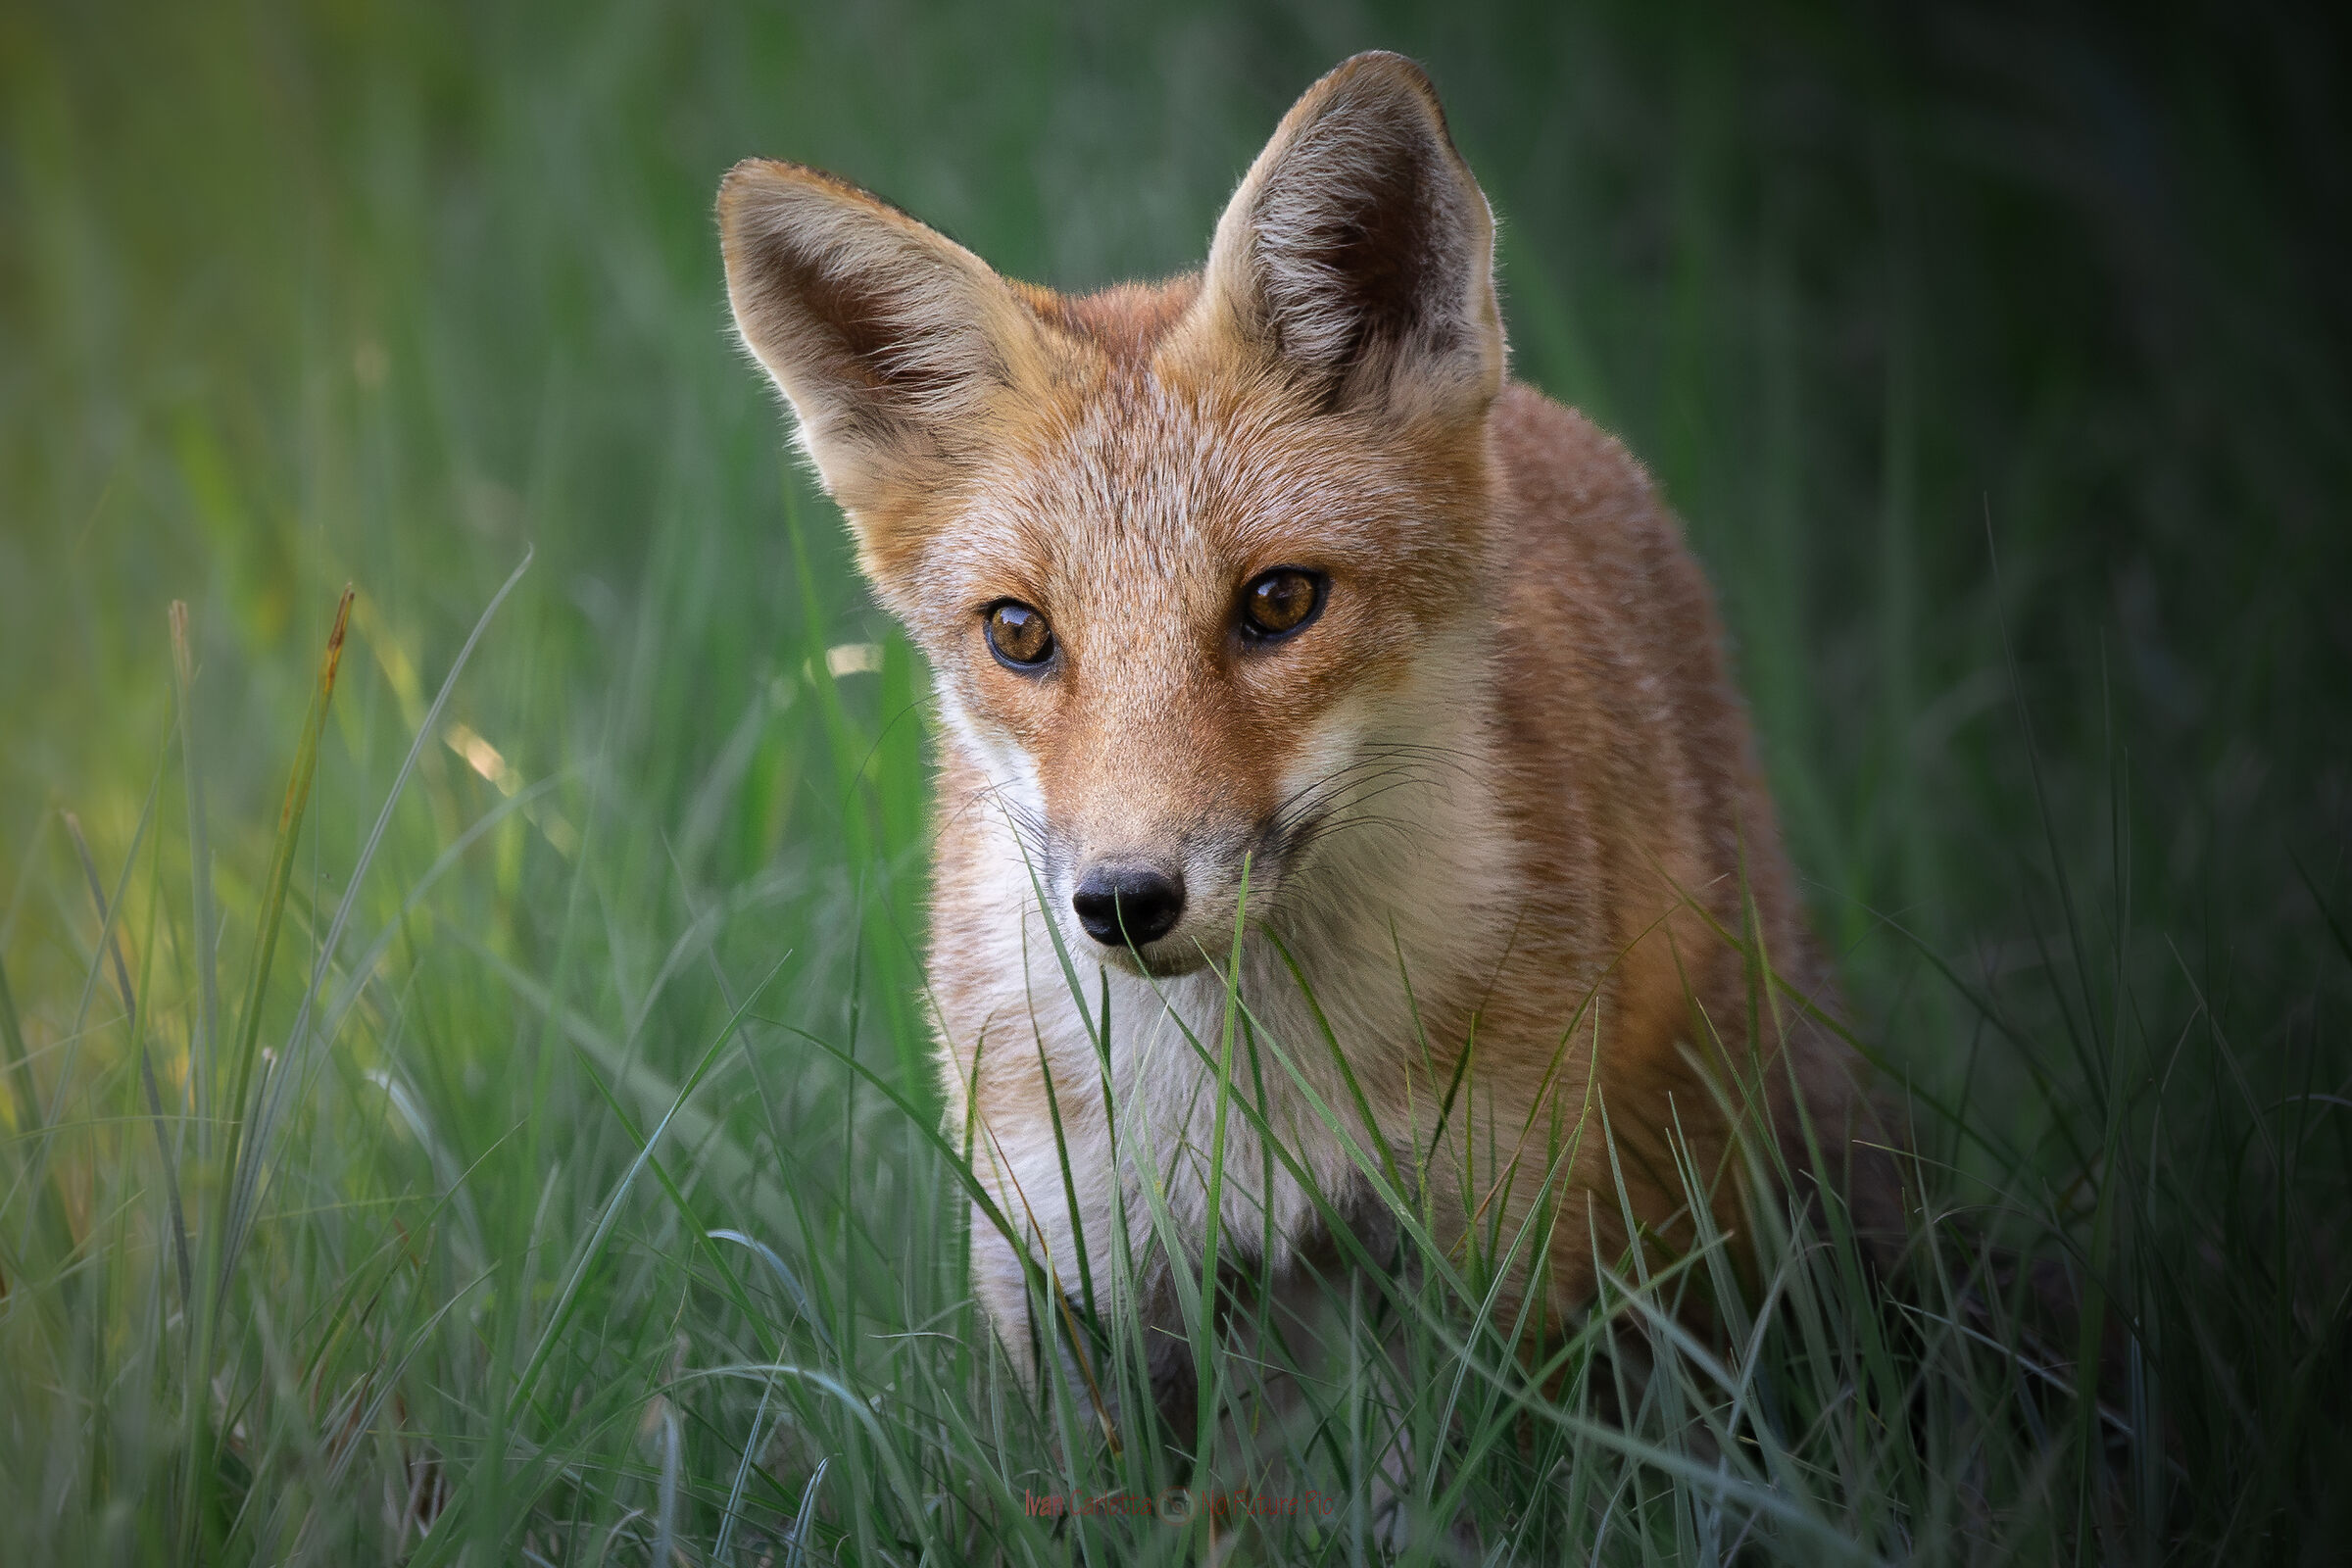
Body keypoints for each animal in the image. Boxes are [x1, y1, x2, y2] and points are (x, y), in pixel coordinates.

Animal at [718, 51, 1897, 1412]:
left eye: (1279, 602)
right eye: (1019, 632)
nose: (1124, 900)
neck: (1243, 1099)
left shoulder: (1487, 1259)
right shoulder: (1066, 1272)